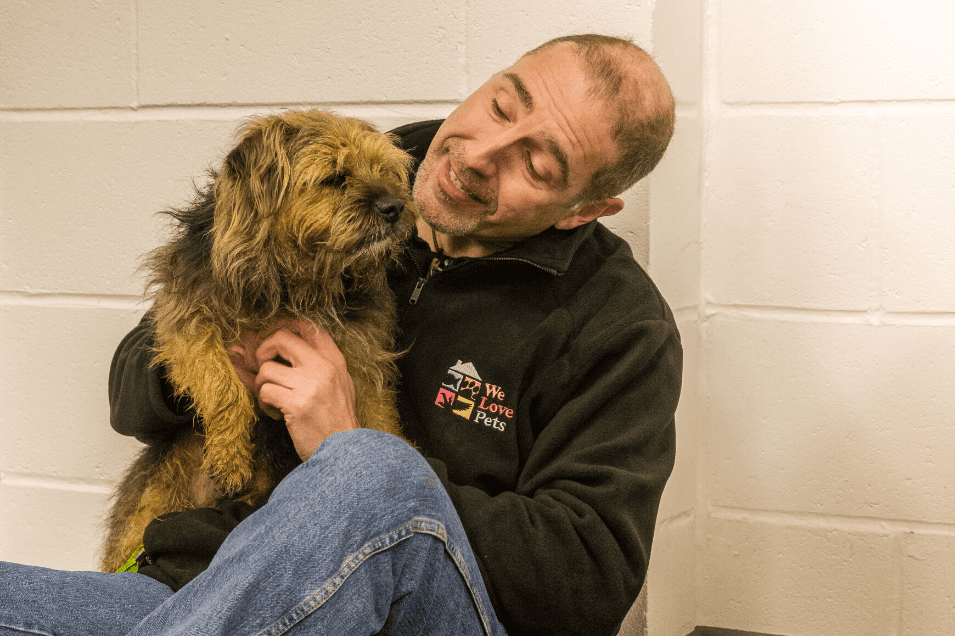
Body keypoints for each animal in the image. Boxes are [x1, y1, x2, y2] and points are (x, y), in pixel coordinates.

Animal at [99, 109, 416, 572]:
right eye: (335, 177)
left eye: (386, 171)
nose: (395, 207)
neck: (295, 281)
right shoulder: (186, 323)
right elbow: (222, 384)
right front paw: (231, 456)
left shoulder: (361, 357)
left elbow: (378, 416)